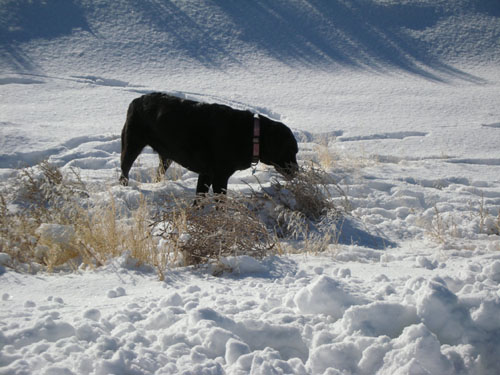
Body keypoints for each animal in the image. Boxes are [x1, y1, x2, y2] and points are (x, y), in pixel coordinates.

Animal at [119, 92, 298, 195]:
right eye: (291, 151)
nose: (297, 171)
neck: (253, 136)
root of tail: (136, 101)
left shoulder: (206, 174)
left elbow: (200, 197)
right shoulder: (220, 177)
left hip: (166, 156)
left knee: (159, 171)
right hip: (131, 145)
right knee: (124, 170)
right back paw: (124, 186)